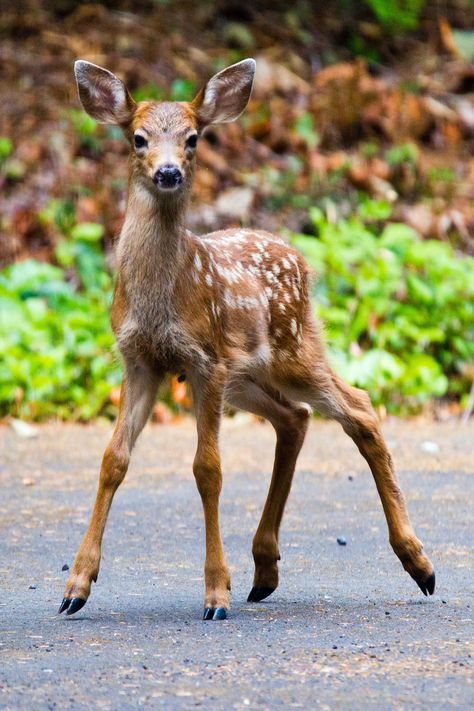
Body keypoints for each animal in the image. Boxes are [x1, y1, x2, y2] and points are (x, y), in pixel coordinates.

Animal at [58, 58, 434, 620]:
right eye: (139, 138)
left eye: (193, 138)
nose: (168, 172)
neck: (161, 297)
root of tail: (302, 261)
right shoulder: (140, 360)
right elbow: (113, 459)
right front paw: (76, 586)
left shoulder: (205, 360)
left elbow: (208, 468)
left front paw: (216, 593)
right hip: (247, 377)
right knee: (294, 418)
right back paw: (264, 570)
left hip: (292, 349)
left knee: (360, 408)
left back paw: (419, 563)